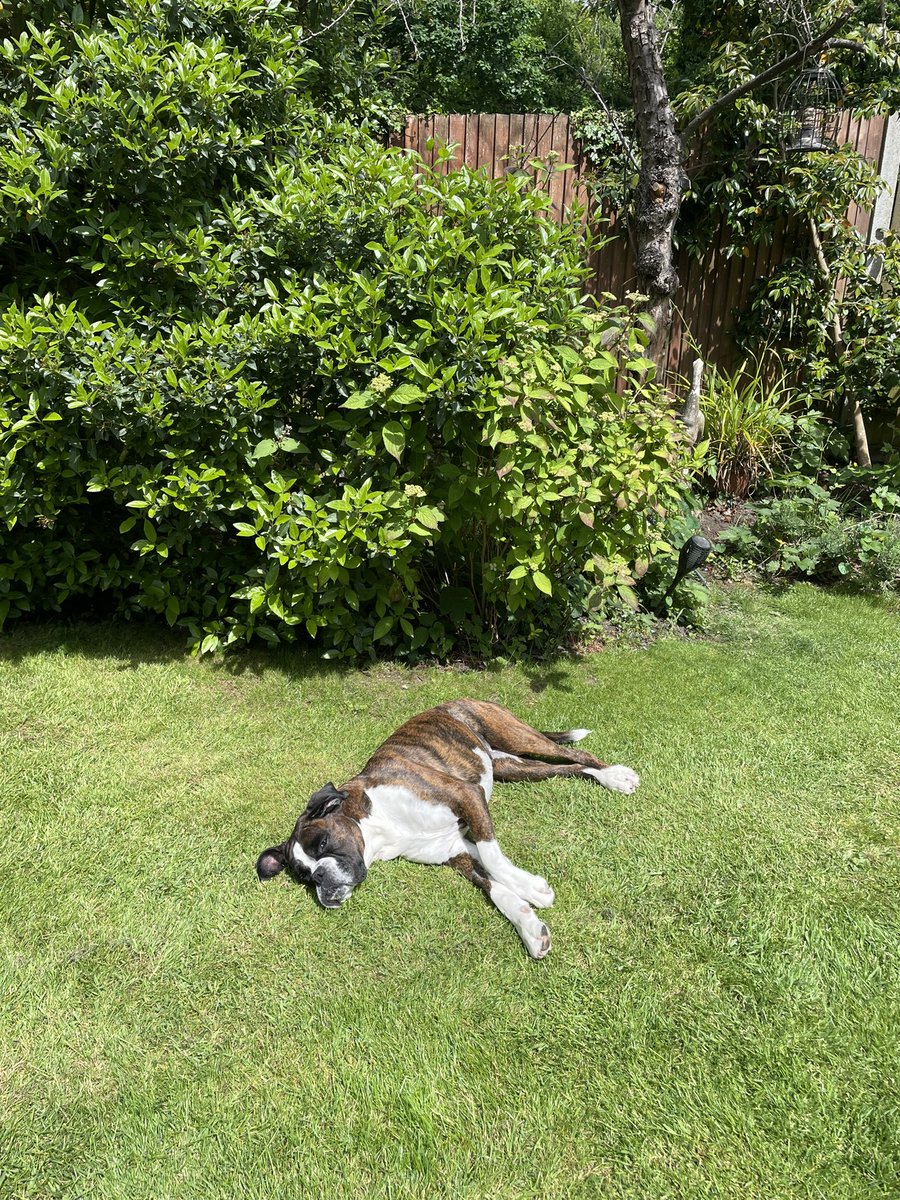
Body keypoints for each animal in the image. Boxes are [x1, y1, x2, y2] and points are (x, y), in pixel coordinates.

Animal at [256, 696, 643, 955]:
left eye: (322, 844)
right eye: (304, 876)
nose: (320, 877)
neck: (379, 830)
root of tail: (456, 700)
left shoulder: (467, 795)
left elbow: (493, 857)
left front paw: (530, 887)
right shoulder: (455, 852)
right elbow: (493, 886)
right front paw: (529, 926)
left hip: (517, 736)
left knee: (576, 755)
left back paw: (616, 776)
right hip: (515, 767)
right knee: (568, 767)